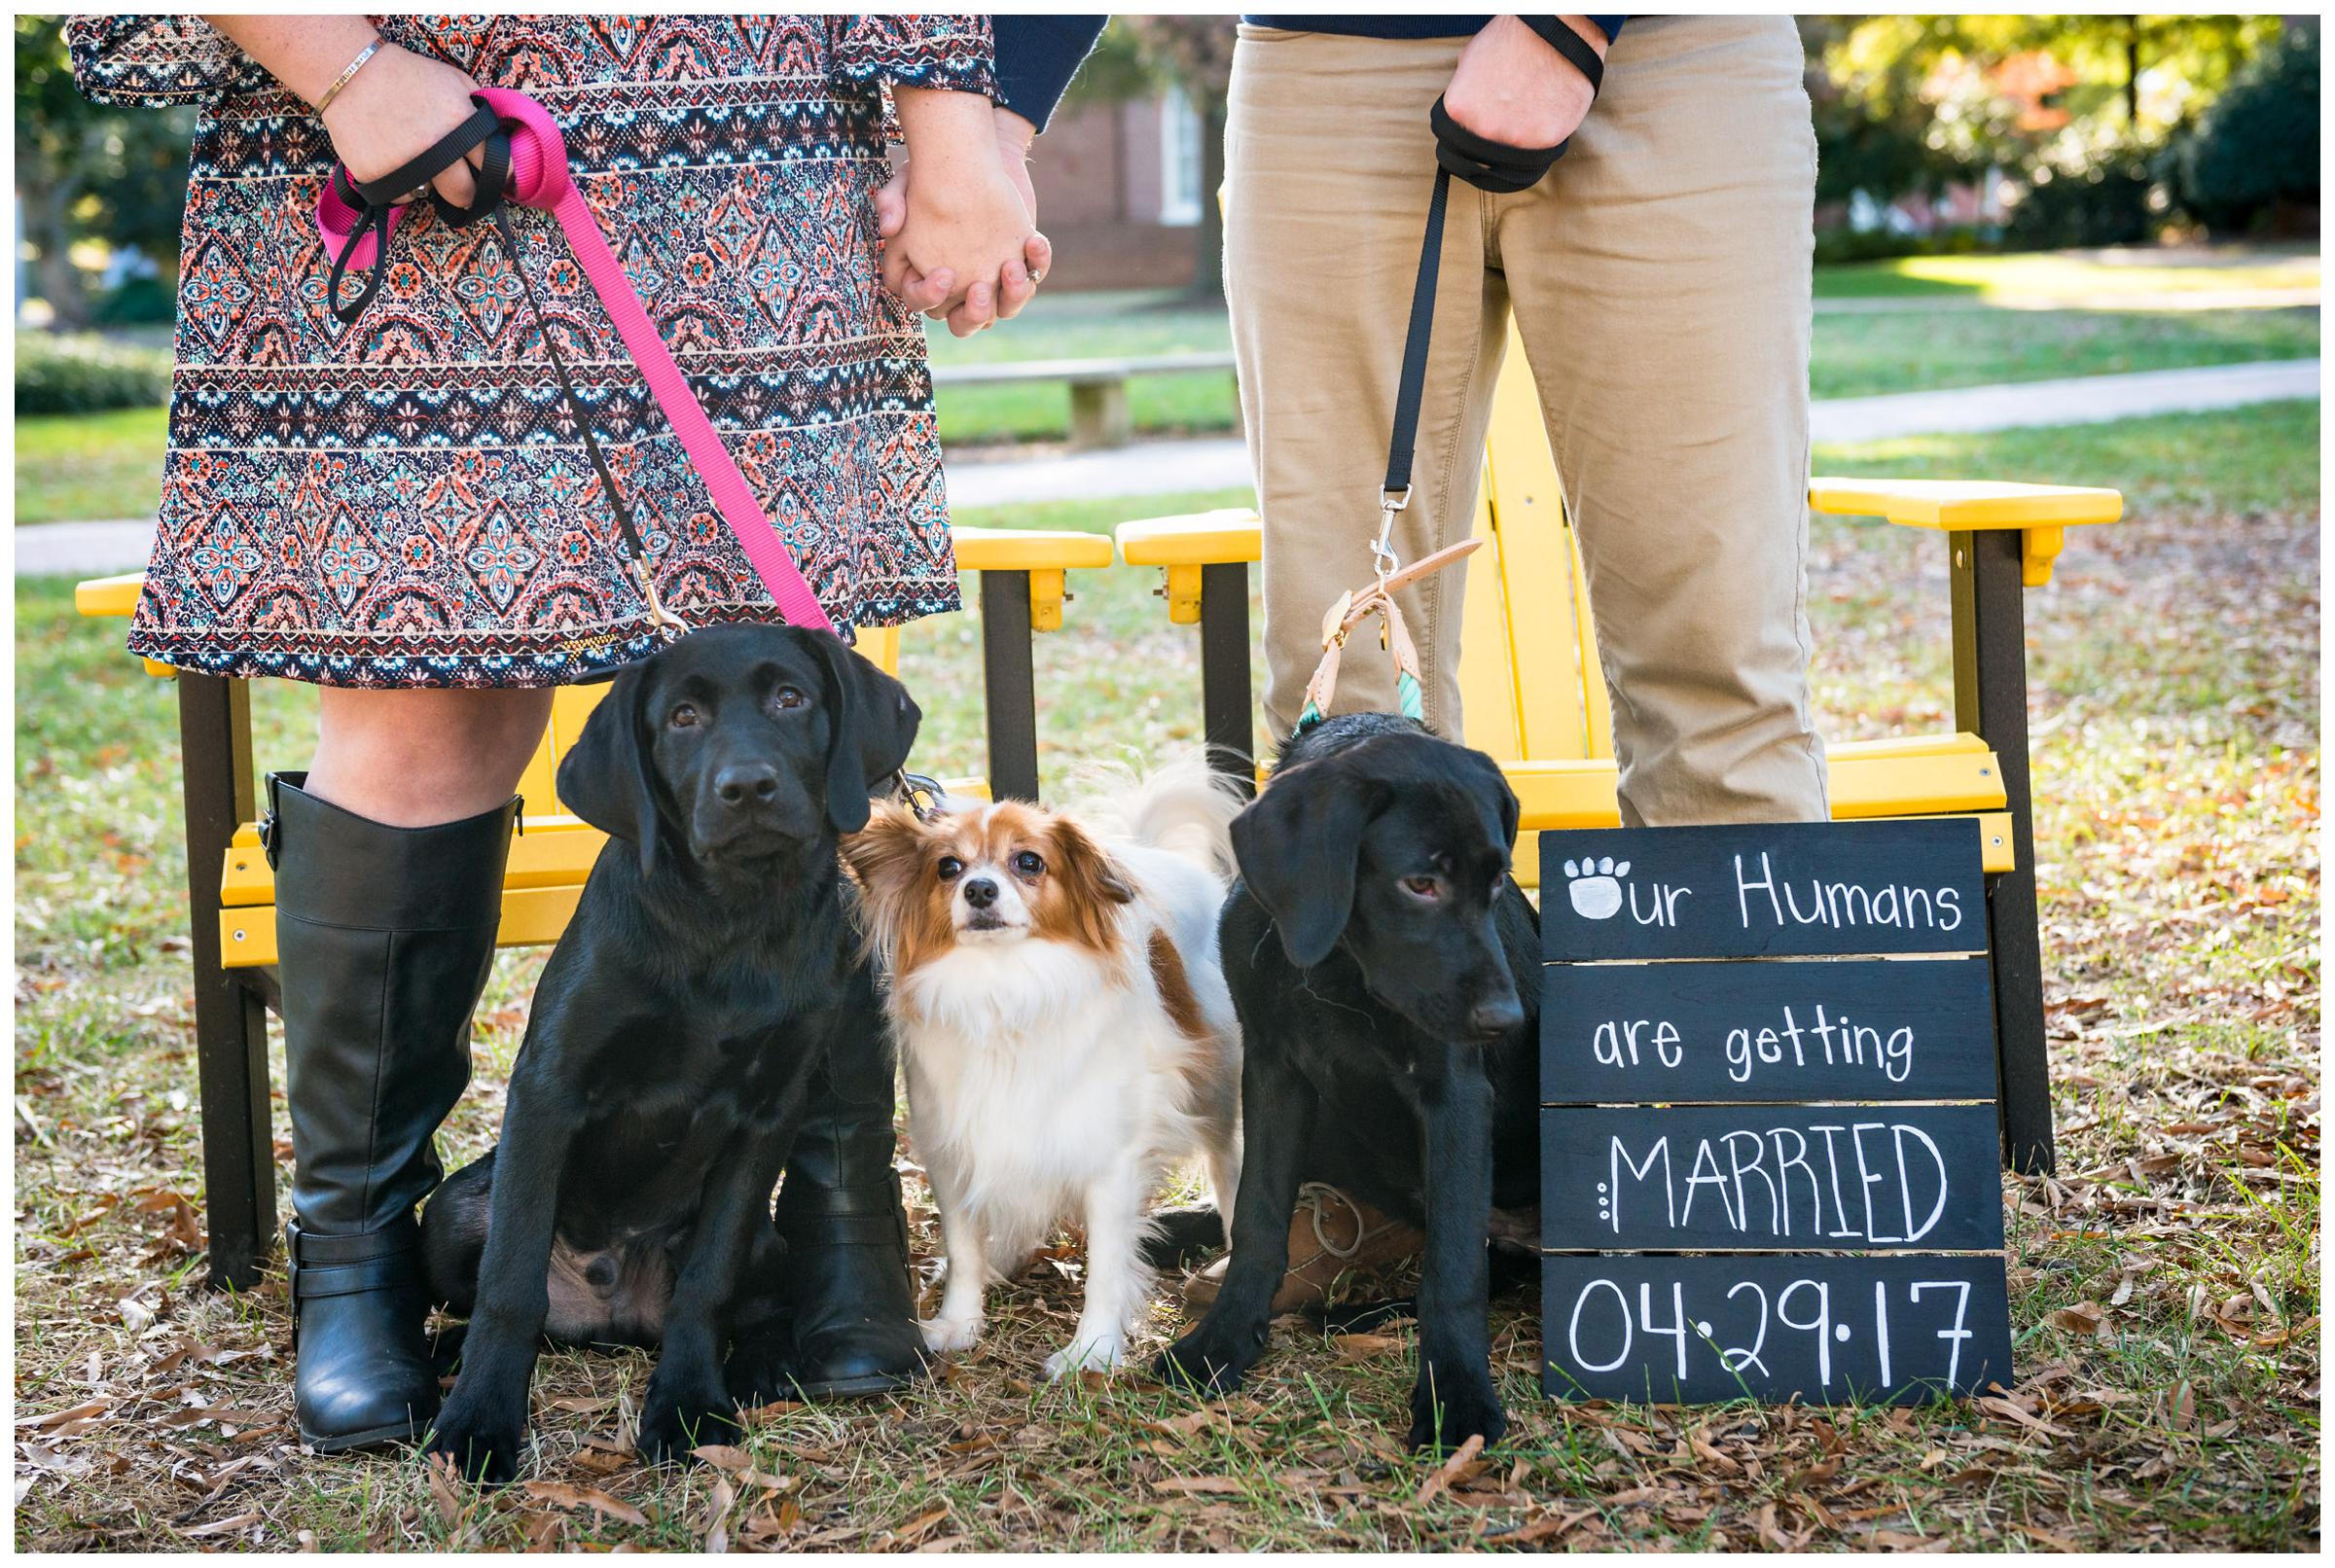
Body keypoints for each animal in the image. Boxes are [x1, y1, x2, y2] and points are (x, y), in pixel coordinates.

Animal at [424, 624, 915, 1483]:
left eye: (791, 699)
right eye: (682, 718)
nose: (746, 787)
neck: (728, 921)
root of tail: (610, 1309)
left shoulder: (768, 1113)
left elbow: (707, 1285)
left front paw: (688, 1404)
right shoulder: (550, 1087)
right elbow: (509, 1284)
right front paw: (481, 1420)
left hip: (766, 1238)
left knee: (748, 1298)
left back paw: (762, 1363)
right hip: (453, 1211)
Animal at [841, 751, 1241, 1381]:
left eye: (1028, 861)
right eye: (948, 868)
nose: (979, 889)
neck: (1005, 989)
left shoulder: (1110, 1160)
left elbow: (1107, 1263)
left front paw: (1092, 1349)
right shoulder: (952, 1152)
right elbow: (964, 1245)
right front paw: (958, 1322)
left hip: (1219, 1092)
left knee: (1229, 1168)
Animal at [1158, 718, 1541, 1455]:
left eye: (1499, 881)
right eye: (1420, 883)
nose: (1506, 1020)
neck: (1339, 963)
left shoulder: (1455, 1095)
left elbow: (1454, 1267)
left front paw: (1454, 1395)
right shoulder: (1272, 1072)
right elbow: (1256, 1215)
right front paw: (1221, 1340)